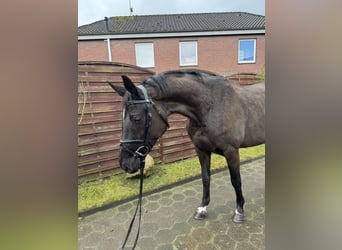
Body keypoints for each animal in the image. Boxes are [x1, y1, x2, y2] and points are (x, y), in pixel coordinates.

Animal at [108, 70, 266, 223]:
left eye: (136, 118)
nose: (125, 163)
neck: (210, 107)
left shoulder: (231, 151)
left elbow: (236, 181)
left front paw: (239, 211)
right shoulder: (201, 150)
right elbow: (205, 178)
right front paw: (202, 208)